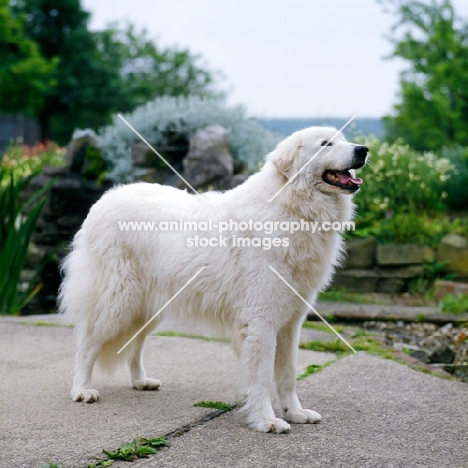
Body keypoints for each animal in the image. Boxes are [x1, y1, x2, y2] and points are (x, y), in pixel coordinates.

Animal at [58, 126, 368, 434]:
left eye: (343, 139)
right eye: (326, 144)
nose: (363, 149)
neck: (293, 208)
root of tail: (104, 199)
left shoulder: (291, 323)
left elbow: (288, 374)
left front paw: (295, 412)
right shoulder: (261, 322)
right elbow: (261, 377)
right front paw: (266, 421)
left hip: (148, 307)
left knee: (135, 345)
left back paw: (140, 381)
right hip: (118, 301)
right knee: (88, 343)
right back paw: (82, 390)